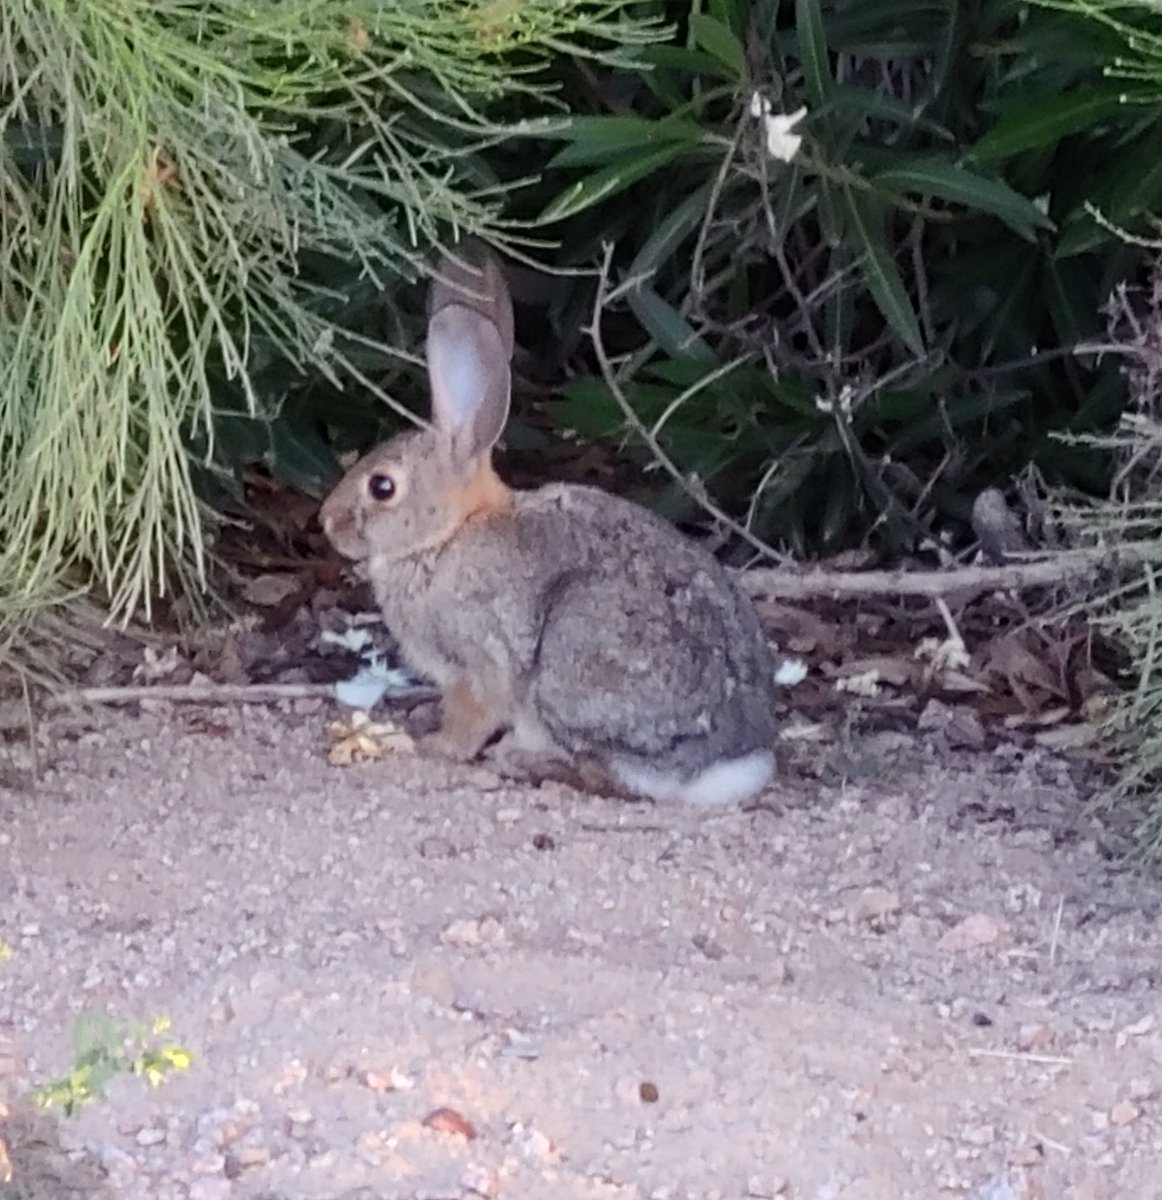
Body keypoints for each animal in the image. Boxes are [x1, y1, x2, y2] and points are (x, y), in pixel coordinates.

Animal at [319, 240, 778, 806]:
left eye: (382, 487)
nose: (326, 522)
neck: (448, 534)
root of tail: (723, 767)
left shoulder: (478, 660)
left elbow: (471, 714)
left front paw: (434, 747)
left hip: (572, 663)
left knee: (605, 772)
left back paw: (521, 759)